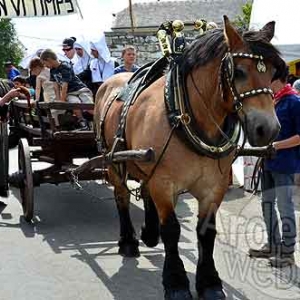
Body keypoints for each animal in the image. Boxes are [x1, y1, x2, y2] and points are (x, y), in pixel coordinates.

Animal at [95, 17, 284, 300]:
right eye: (238, 71)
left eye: (272, 73)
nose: (268, 129)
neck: (181, 112)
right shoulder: (164, 183)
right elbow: (172, 230)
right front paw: (176, 282)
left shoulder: (213, 187)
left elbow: (206, 232)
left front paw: (209, 282)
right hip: (114, 161)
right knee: (122, 197)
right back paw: (128, 241)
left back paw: (149, 233)